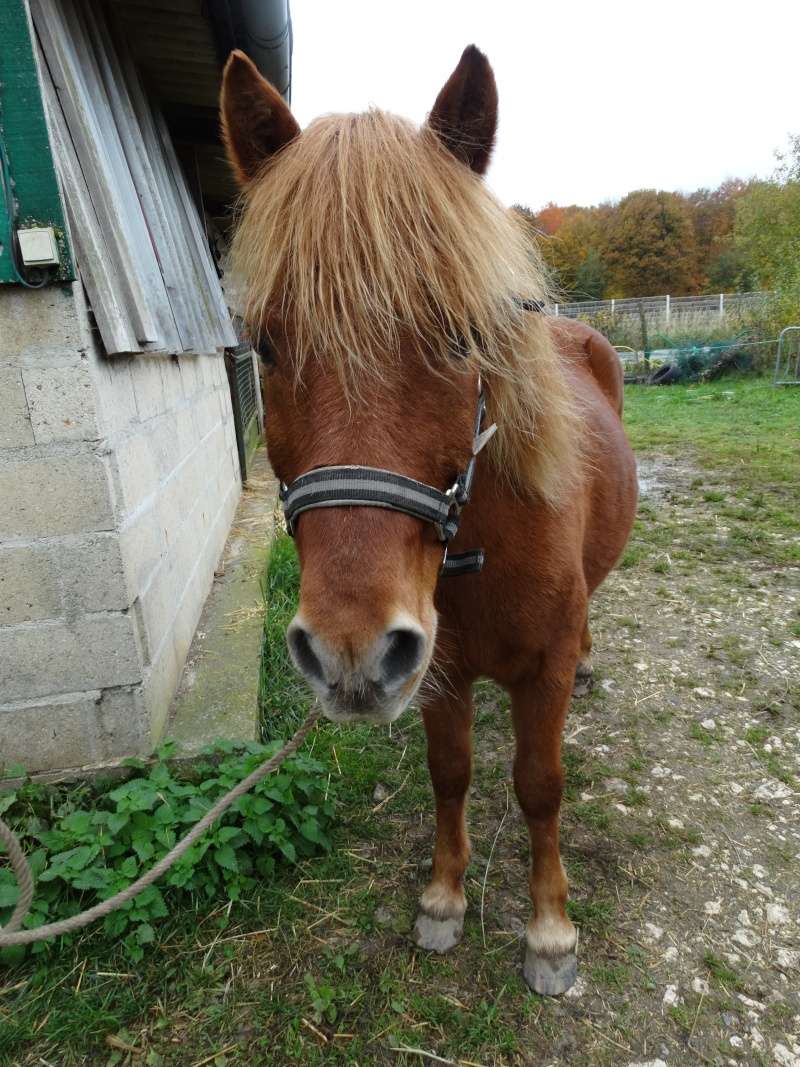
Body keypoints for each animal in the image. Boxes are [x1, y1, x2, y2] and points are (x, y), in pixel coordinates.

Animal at [220, 41, 640, 990]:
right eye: (266, 343)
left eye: (458, 337)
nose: (346, 651)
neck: (482, 551)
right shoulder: (436, 670)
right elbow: (451, 771)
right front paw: (445, 898)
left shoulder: (541, 672)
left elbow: (539, 783)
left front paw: (550, 930)